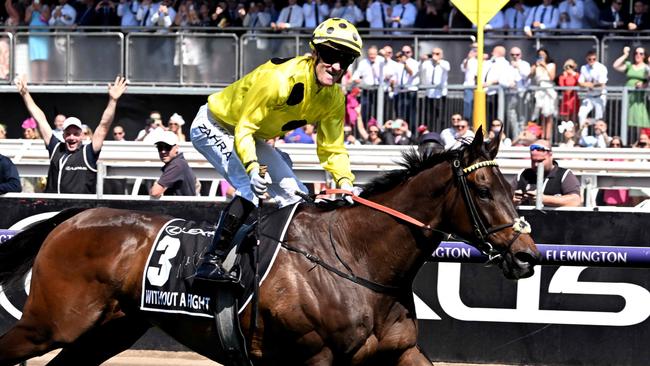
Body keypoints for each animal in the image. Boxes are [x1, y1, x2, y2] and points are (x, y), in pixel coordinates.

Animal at [0, 130, 536, 364]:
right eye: (483, 190)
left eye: (514, 189)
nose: (527, 255)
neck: (356, 260)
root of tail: (76, 216)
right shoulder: (315, 359)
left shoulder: (402, 354)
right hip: (50, 324)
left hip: (110, 330)